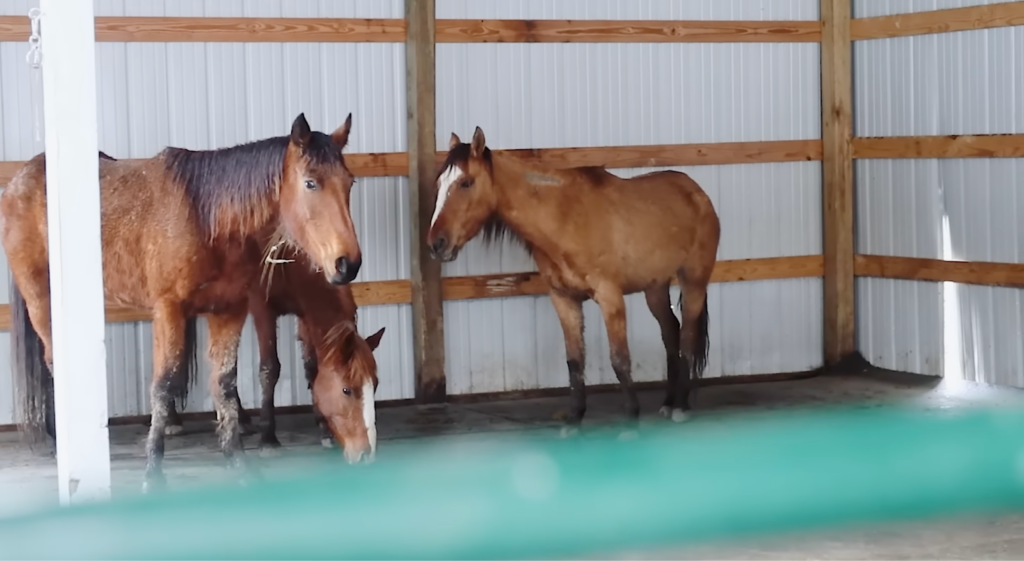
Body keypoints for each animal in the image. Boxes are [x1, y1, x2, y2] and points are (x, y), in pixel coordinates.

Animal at [165, 245, 386, 464]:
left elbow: (312, 369)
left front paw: (324, 430)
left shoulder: (305, 313)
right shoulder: (263, 309)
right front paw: (268, 439)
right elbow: (270, 369)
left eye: (375, 385)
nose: (367, 454)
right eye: (346, 390)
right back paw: (171, 420)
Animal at [426, 128, 721, 435]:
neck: (563, 218)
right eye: (439, 184)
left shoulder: (609, 297)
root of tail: (697, 193)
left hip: (694, 282)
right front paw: (574, 419)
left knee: (687, 336)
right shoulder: (563, 298)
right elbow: (574, 361)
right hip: (655, 287)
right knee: (671, 332)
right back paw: (668, 402)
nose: (436, 244)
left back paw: (681, 406)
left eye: (466, 183)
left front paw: (631, 421)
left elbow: (620, 359)